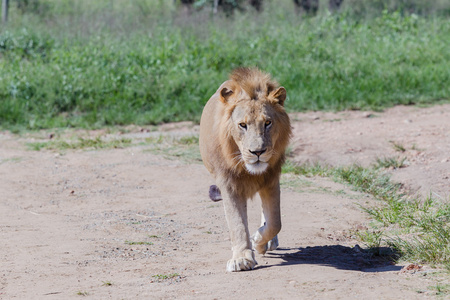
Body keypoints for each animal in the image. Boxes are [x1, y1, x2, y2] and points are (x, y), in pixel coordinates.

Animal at [200, 68, 292, 272]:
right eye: (243, 125)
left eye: (268, 123)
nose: (257, 152)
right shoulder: (228, 184)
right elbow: (237, 223)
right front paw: (241, 258)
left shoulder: (271, 179)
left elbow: (276, 221)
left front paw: (258, 240)